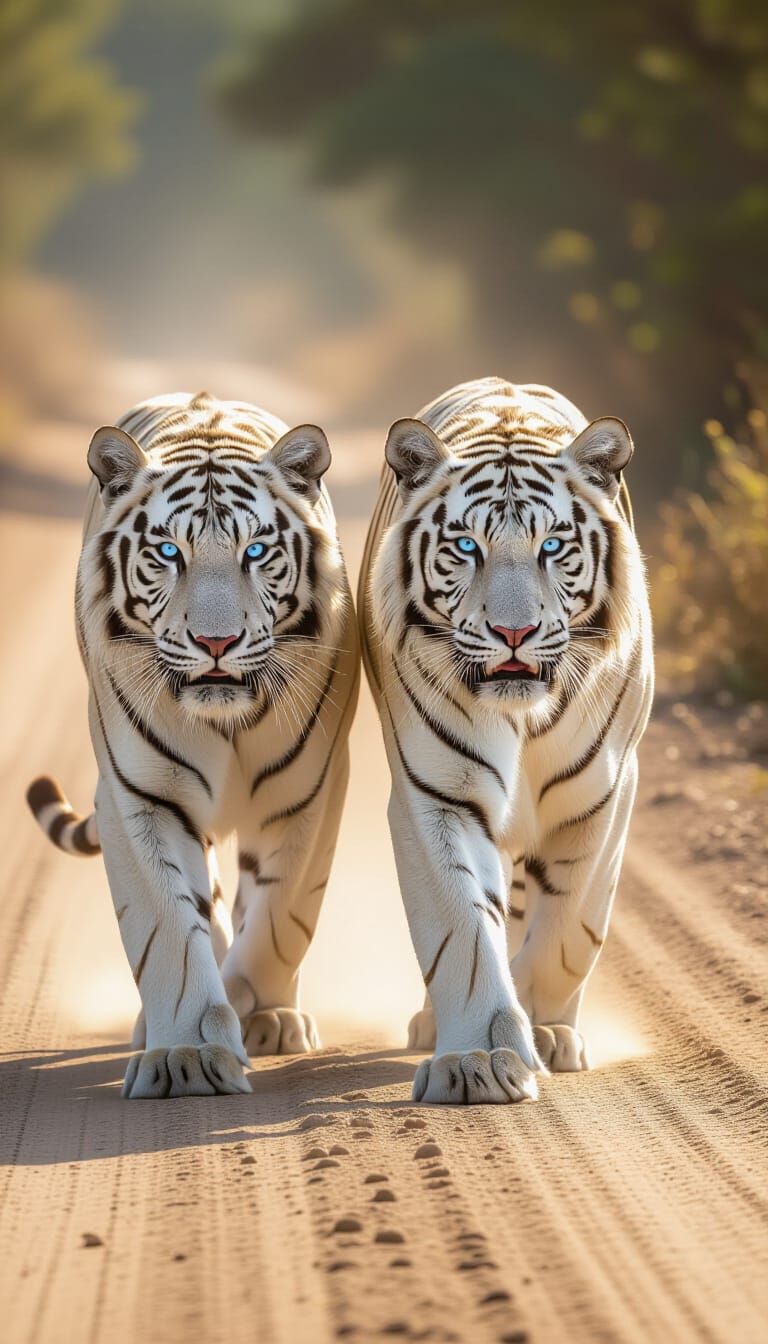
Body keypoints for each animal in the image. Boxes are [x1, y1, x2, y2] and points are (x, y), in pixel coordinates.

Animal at [27, 391, 359, 1099]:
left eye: (256, 551)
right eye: (168, 552)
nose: (215, 643)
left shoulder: (311, 788)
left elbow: (284, 911)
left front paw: (257, 1012)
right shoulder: (140, 796)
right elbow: (170, 927)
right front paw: (187, 1054)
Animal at [359, 377, 653, 1105]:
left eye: (552, 547)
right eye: (466, 547)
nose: (513, 633)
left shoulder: (603, 796)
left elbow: (568, 928)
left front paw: (544, 1028)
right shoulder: (436, 796)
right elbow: (463, 930)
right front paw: (481, 1059)